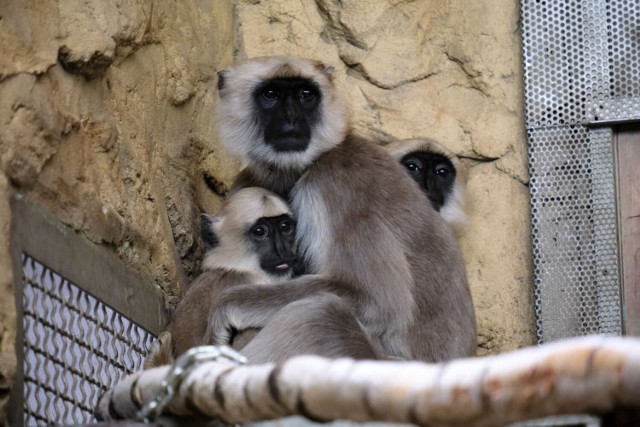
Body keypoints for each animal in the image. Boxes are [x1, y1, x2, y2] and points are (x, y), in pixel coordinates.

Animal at [210, 56, 476, 364]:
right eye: (271, 95)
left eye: (305, 95)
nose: (291, 119)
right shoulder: (248, 180)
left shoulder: (335, 182)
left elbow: (376, 301)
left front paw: (225, 305)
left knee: (321, 315)